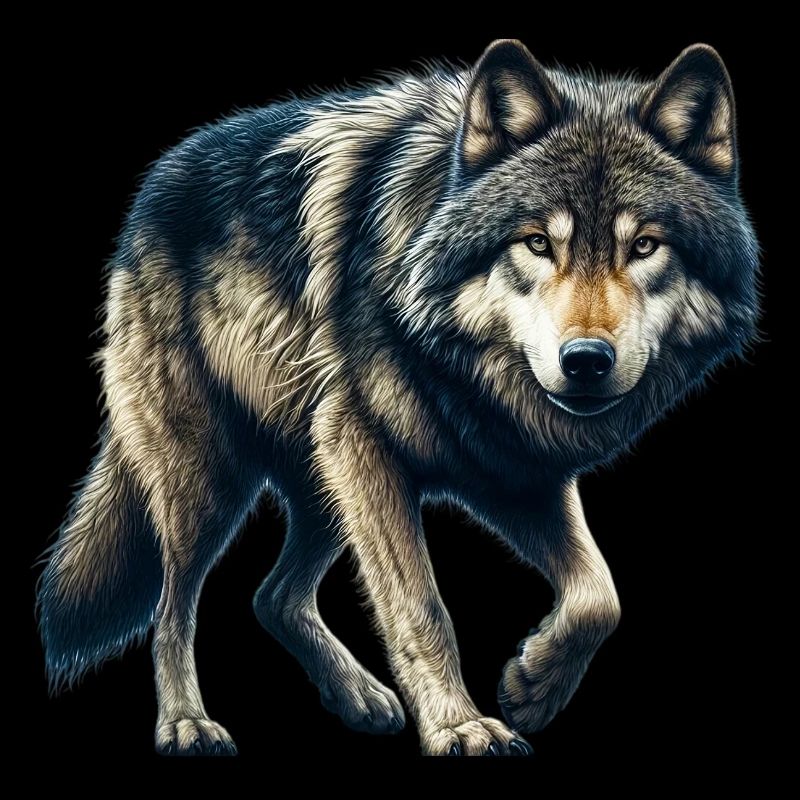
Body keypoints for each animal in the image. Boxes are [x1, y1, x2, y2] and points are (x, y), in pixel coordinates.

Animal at [38, 39, 758, 756]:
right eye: (536, 243)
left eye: (645, 246)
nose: (584, 362)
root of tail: (155, 181)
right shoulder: (369, 448)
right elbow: (421, 607)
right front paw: (461, 726)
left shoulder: (514, 472)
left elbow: (599, 597)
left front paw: (534, 686)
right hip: (213, 480)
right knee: (173, 604)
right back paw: (186, 724)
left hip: (324, 480)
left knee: (273, 596)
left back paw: (357, 696)